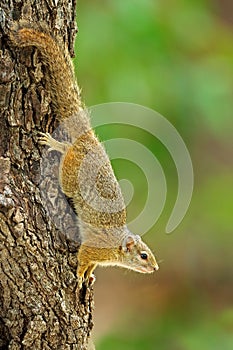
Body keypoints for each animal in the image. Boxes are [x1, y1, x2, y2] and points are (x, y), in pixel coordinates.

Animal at [9, 23, 158, 288]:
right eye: (143, 255)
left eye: (149, 253)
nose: (155, 267)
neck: (115, 248)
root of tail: (89, 140)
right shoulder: (92, 248)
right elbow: (82, 258)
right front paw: (79, 276)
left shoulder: (97, 257)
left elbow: (91, 265)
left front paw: (89, 276)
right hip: (70, 175)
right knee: (66, 153)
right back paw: (56, 144)